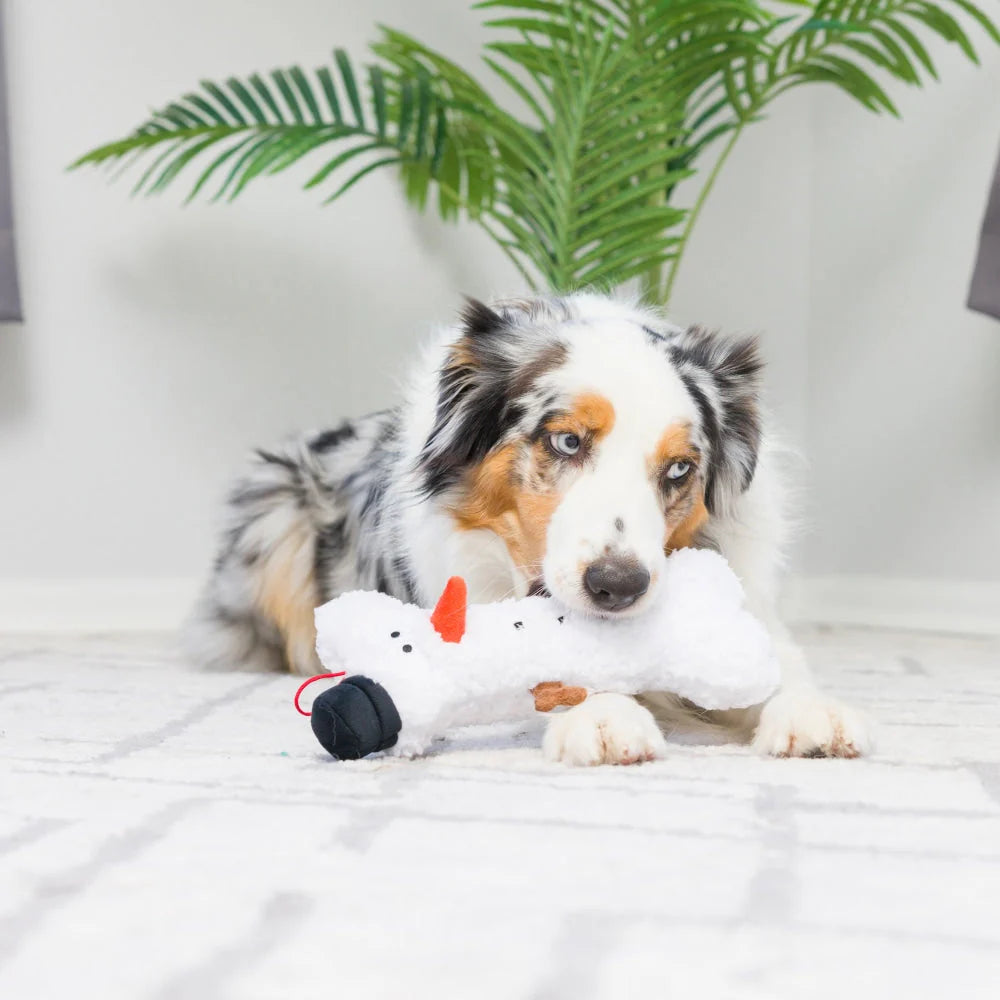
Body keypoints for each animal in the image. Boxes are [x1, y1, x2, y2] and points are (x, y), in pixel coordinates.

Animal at [189, 292, 876, 760]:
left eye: (680, 467)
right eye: (567, 440)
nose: (617, 586)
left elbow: (777, 662)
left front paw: (811, 711)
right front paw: (604, 716)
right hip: (273, 515)